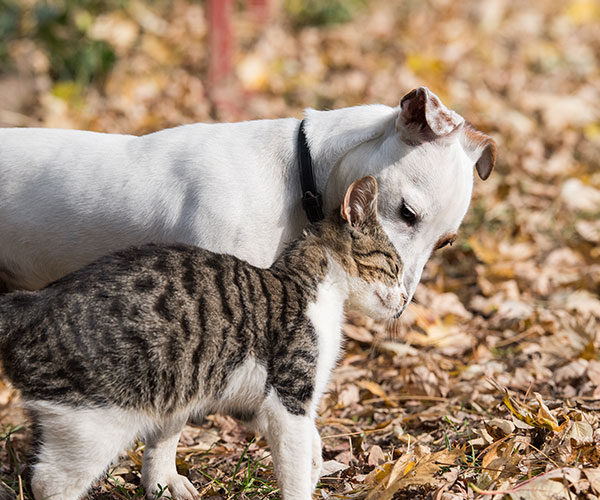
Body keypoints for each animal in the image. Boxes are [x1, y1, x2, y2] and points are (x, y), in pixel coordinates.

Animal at [0, 176, 406, 500]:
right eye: (394, 266)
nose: (405, 299)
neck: (313, 285)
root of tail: (35, 302)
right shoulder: (288, 395)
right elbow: (293, 462)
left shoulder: (253, 401)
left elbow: (312, 442)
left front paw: (316, 464)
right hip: (93, 423)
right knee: (48, 482)